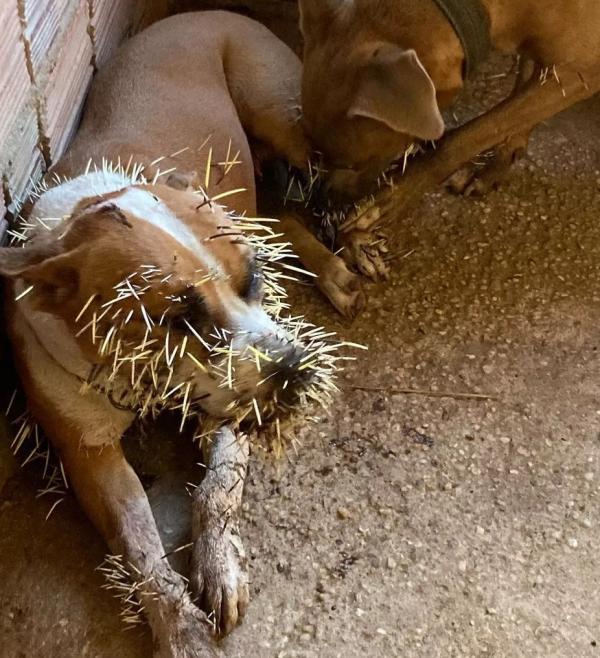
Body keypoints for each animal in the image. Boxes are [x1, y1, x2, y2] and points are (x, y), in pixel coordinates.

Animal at [0, 11, 352, 656]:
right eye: (175, 319)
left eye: (253, 279)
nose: (294, 371)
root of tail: (206, 12)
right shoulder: (88, 454)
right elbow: (139, 545)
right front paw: (180, 628)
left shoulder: (231, 408)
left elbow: (217, 489)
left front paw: (219, 568)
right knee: (279, 212)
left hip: (282, 112)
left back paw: (346, 253)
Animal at [300, 0, 600, 276]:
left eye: (351, 164)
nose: (320, 203)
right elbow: (516, 105)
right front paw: (498, 164)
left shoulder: (578, 75)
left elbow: (475, 132)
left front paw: (386, 203)